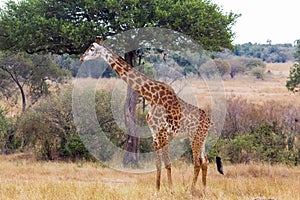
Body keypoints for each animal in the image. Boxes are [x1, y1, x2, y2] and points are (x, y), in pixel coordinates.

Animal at [80, 38, 218, 194]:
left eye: (91, 48)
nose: (81, 58)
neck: (151, 96)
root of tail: (209, 121)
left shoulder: (163, 132)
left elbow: (167, 163)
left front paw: (171, 190)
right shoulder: (154, 133)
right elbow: (158, 164)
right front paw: (157, 190)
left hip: (195, 136)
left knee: (197, 162)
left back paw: (191, 190)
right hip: (202, 138)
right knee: (205, 161)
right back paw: (204, 190)